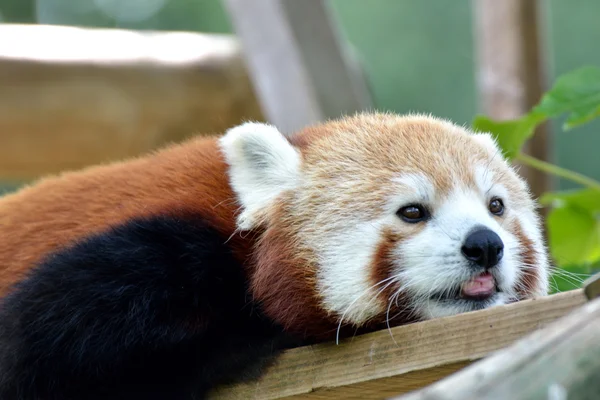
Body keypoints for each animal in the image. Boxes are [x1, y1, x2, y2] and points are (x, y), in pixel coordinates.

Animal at [0, 112, 548, 400]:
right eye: (412, 211)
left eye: (496, 206)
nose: (485, 244)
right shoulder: (148, 258)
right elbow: (28, 357)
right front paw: (252, 339)